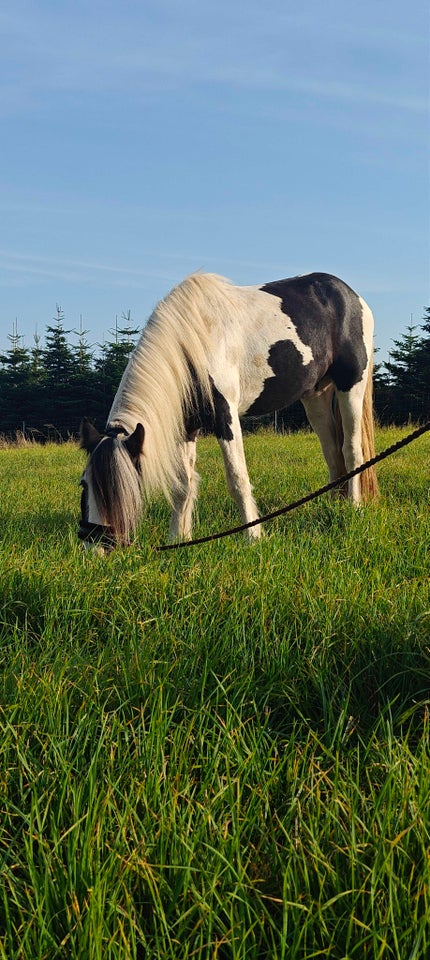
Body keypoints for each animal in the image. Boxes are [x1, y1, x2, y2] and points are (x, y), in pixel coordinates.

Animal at [157, 422, 430, 556]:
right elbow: (183, 484)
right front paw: (178, 538)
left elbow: (237, 478)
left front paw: (253, 538)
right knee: (333, 452)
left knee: (351, 450)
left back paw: (354, 507)